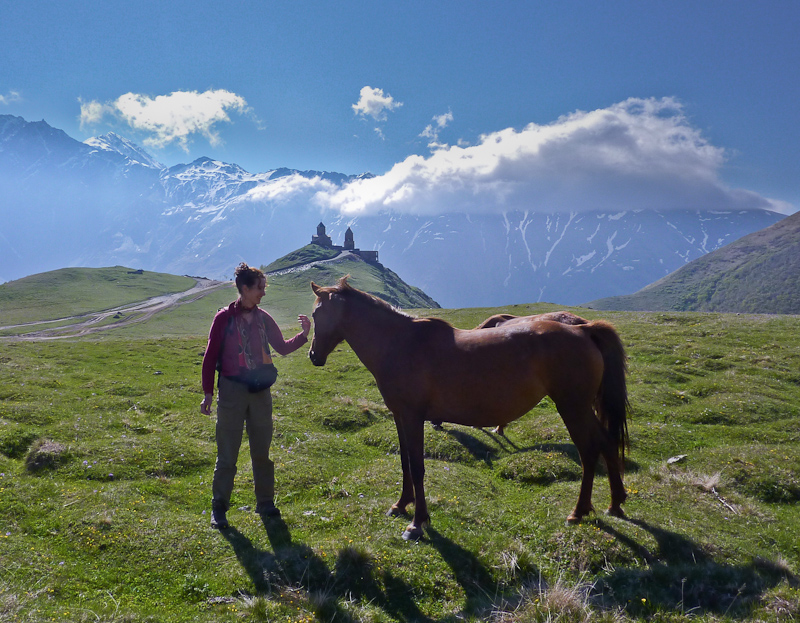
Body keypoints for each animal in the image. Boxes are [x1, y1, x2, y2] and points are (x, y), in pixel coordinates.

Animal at [310, 278, 628, 540]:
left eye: (314, 314)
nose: (313, 356)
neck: (400, 343)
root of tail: (583, 329)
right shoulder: (400, 416)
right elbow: (404, 462)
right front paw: (401, 504)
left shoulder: (413, 417)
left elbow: (418, 466)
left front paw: (417, 522)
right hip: (581, 408)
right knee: (607, 442)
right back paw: (615, 503)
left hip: (572, 407)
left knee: (590, 450)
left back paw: (579, 511)